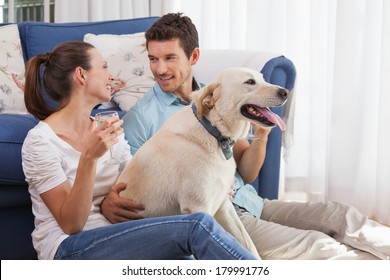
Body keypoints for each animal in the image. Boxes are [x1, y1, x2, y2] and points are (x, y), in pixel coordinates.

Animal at [117, 67, 288, 258]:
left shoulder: (224, 204)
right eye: (250, 82)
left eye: (263, 79)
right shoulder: (198, 209)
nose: (285, 92)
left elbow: (248, 245)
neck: (213, 132)